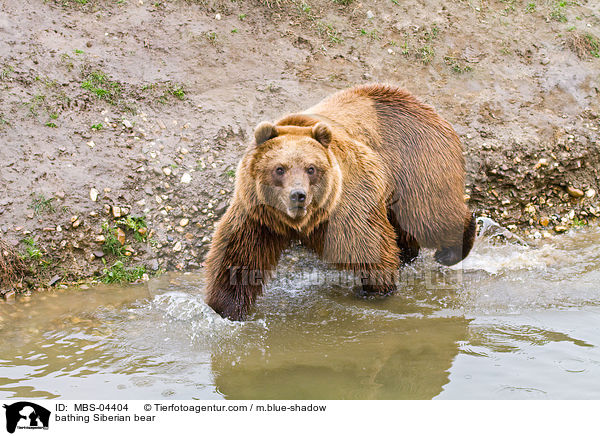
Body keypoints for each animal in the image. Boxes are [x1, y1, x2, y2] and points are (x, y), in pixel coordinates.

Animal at [204, 83, 476, 320]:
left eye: (311, 168)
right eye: (279, 169)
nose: (298, 195)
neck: (300, 220)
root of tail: (423, 106)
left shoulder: (346, 199)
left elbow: (367, 244)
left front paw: (374, 289)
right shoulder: (257, 214)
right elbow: (238, 256)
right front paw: (225, 308)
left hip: (416, 163)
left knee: (429, 214)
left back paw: (451, 249)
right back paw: (408, 254)